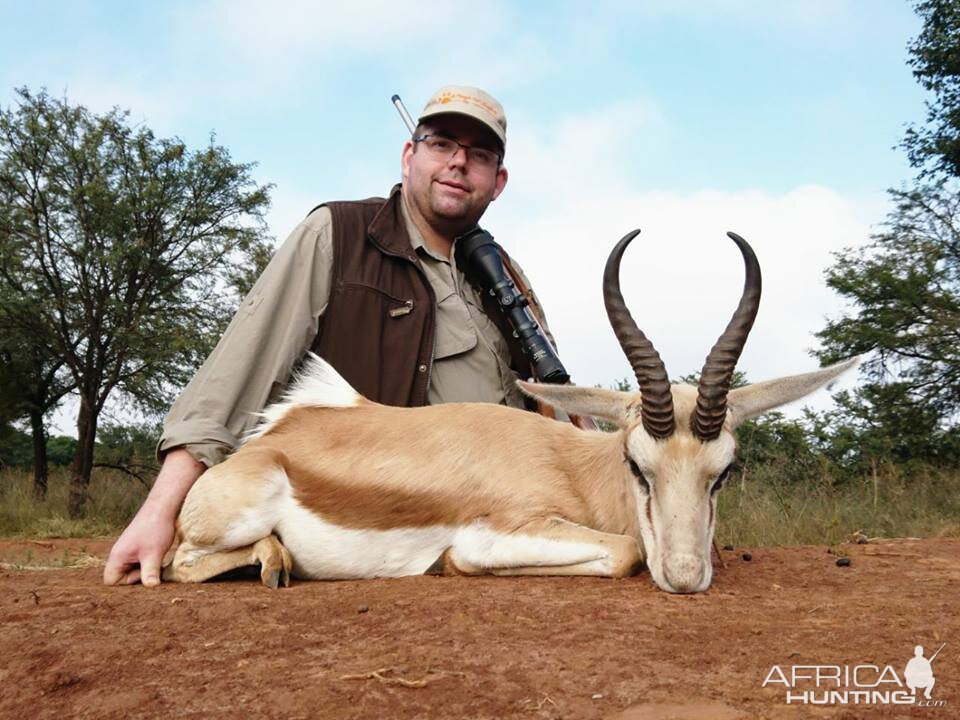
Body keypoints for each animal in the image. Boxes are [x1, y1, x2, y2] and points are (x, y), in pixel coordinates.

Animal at [161, 232, 860, 596]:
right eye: (637, 464)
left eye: (725, 470)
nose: (686, 578)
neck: (575, 468)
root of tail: (272, 440)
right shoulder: (502, 530)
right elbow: (625, 551)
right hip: (226, 521)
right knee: (178, 562)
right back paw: (273, 564)